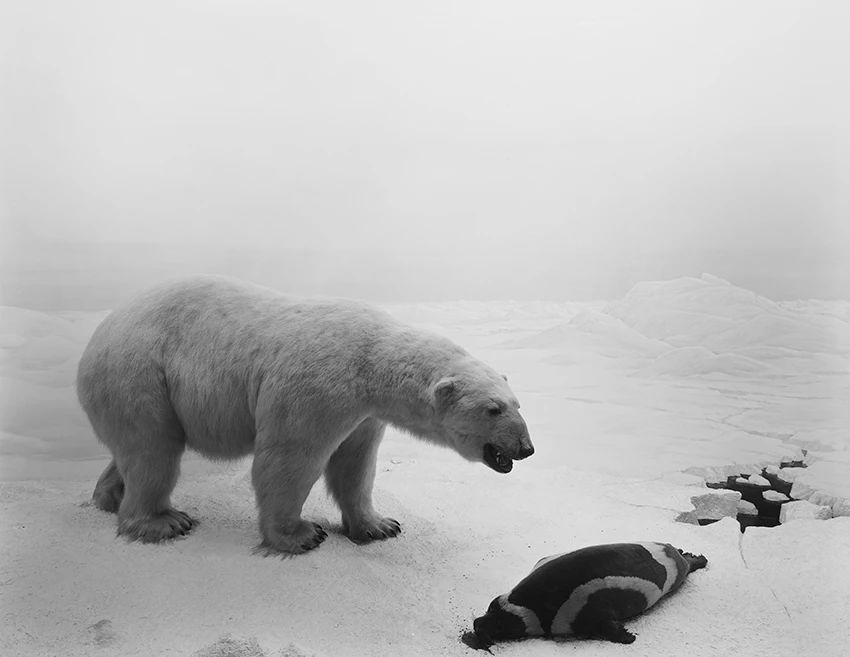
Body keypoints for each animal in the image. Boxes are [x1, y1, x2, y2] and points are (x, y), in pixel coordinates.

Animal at [78, 276, 528, 552]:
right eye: (493, 409)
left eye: (517, 403)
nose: (526, 448)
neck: (371, 360)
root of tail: (97, 335)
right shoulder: (318, 386)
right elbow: (290, 457)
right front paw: (300, 535)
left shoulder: (364, 414)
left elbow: (356, 463)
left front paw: (380, 525)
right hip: (140, 375)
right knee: (153, 450)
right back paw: (162, 521)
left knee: (136, 450)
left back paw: (109, 497)